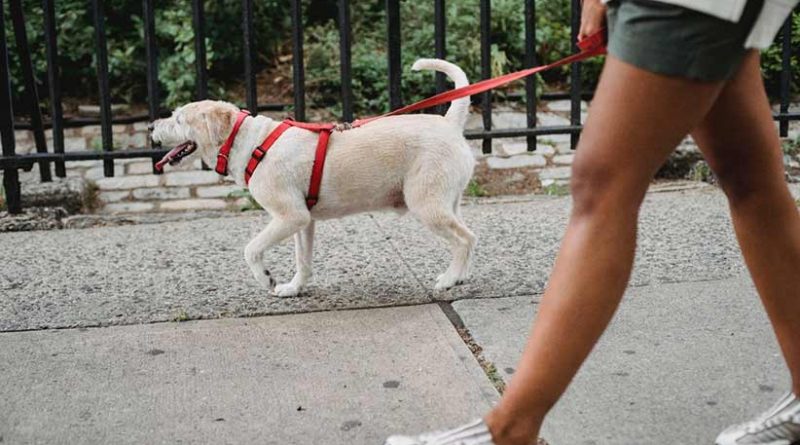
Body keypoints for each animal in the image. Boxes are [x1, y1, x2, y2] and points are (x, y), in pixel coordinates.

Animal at [149, 59, 476, 297]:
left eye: (178, 119)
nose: (151, 127)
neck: (251, 142)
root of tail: (450, 123)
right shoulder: (303, 222)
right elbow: (302, 260)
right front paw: (293, 288)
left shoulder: (289, 216)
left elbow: (251, 249)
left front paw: (265, 279)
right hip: (448, 202)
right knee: (467, 236)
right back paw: (459, 277)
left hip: (427, 205)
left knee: (464, 238)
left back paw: (449, 280)